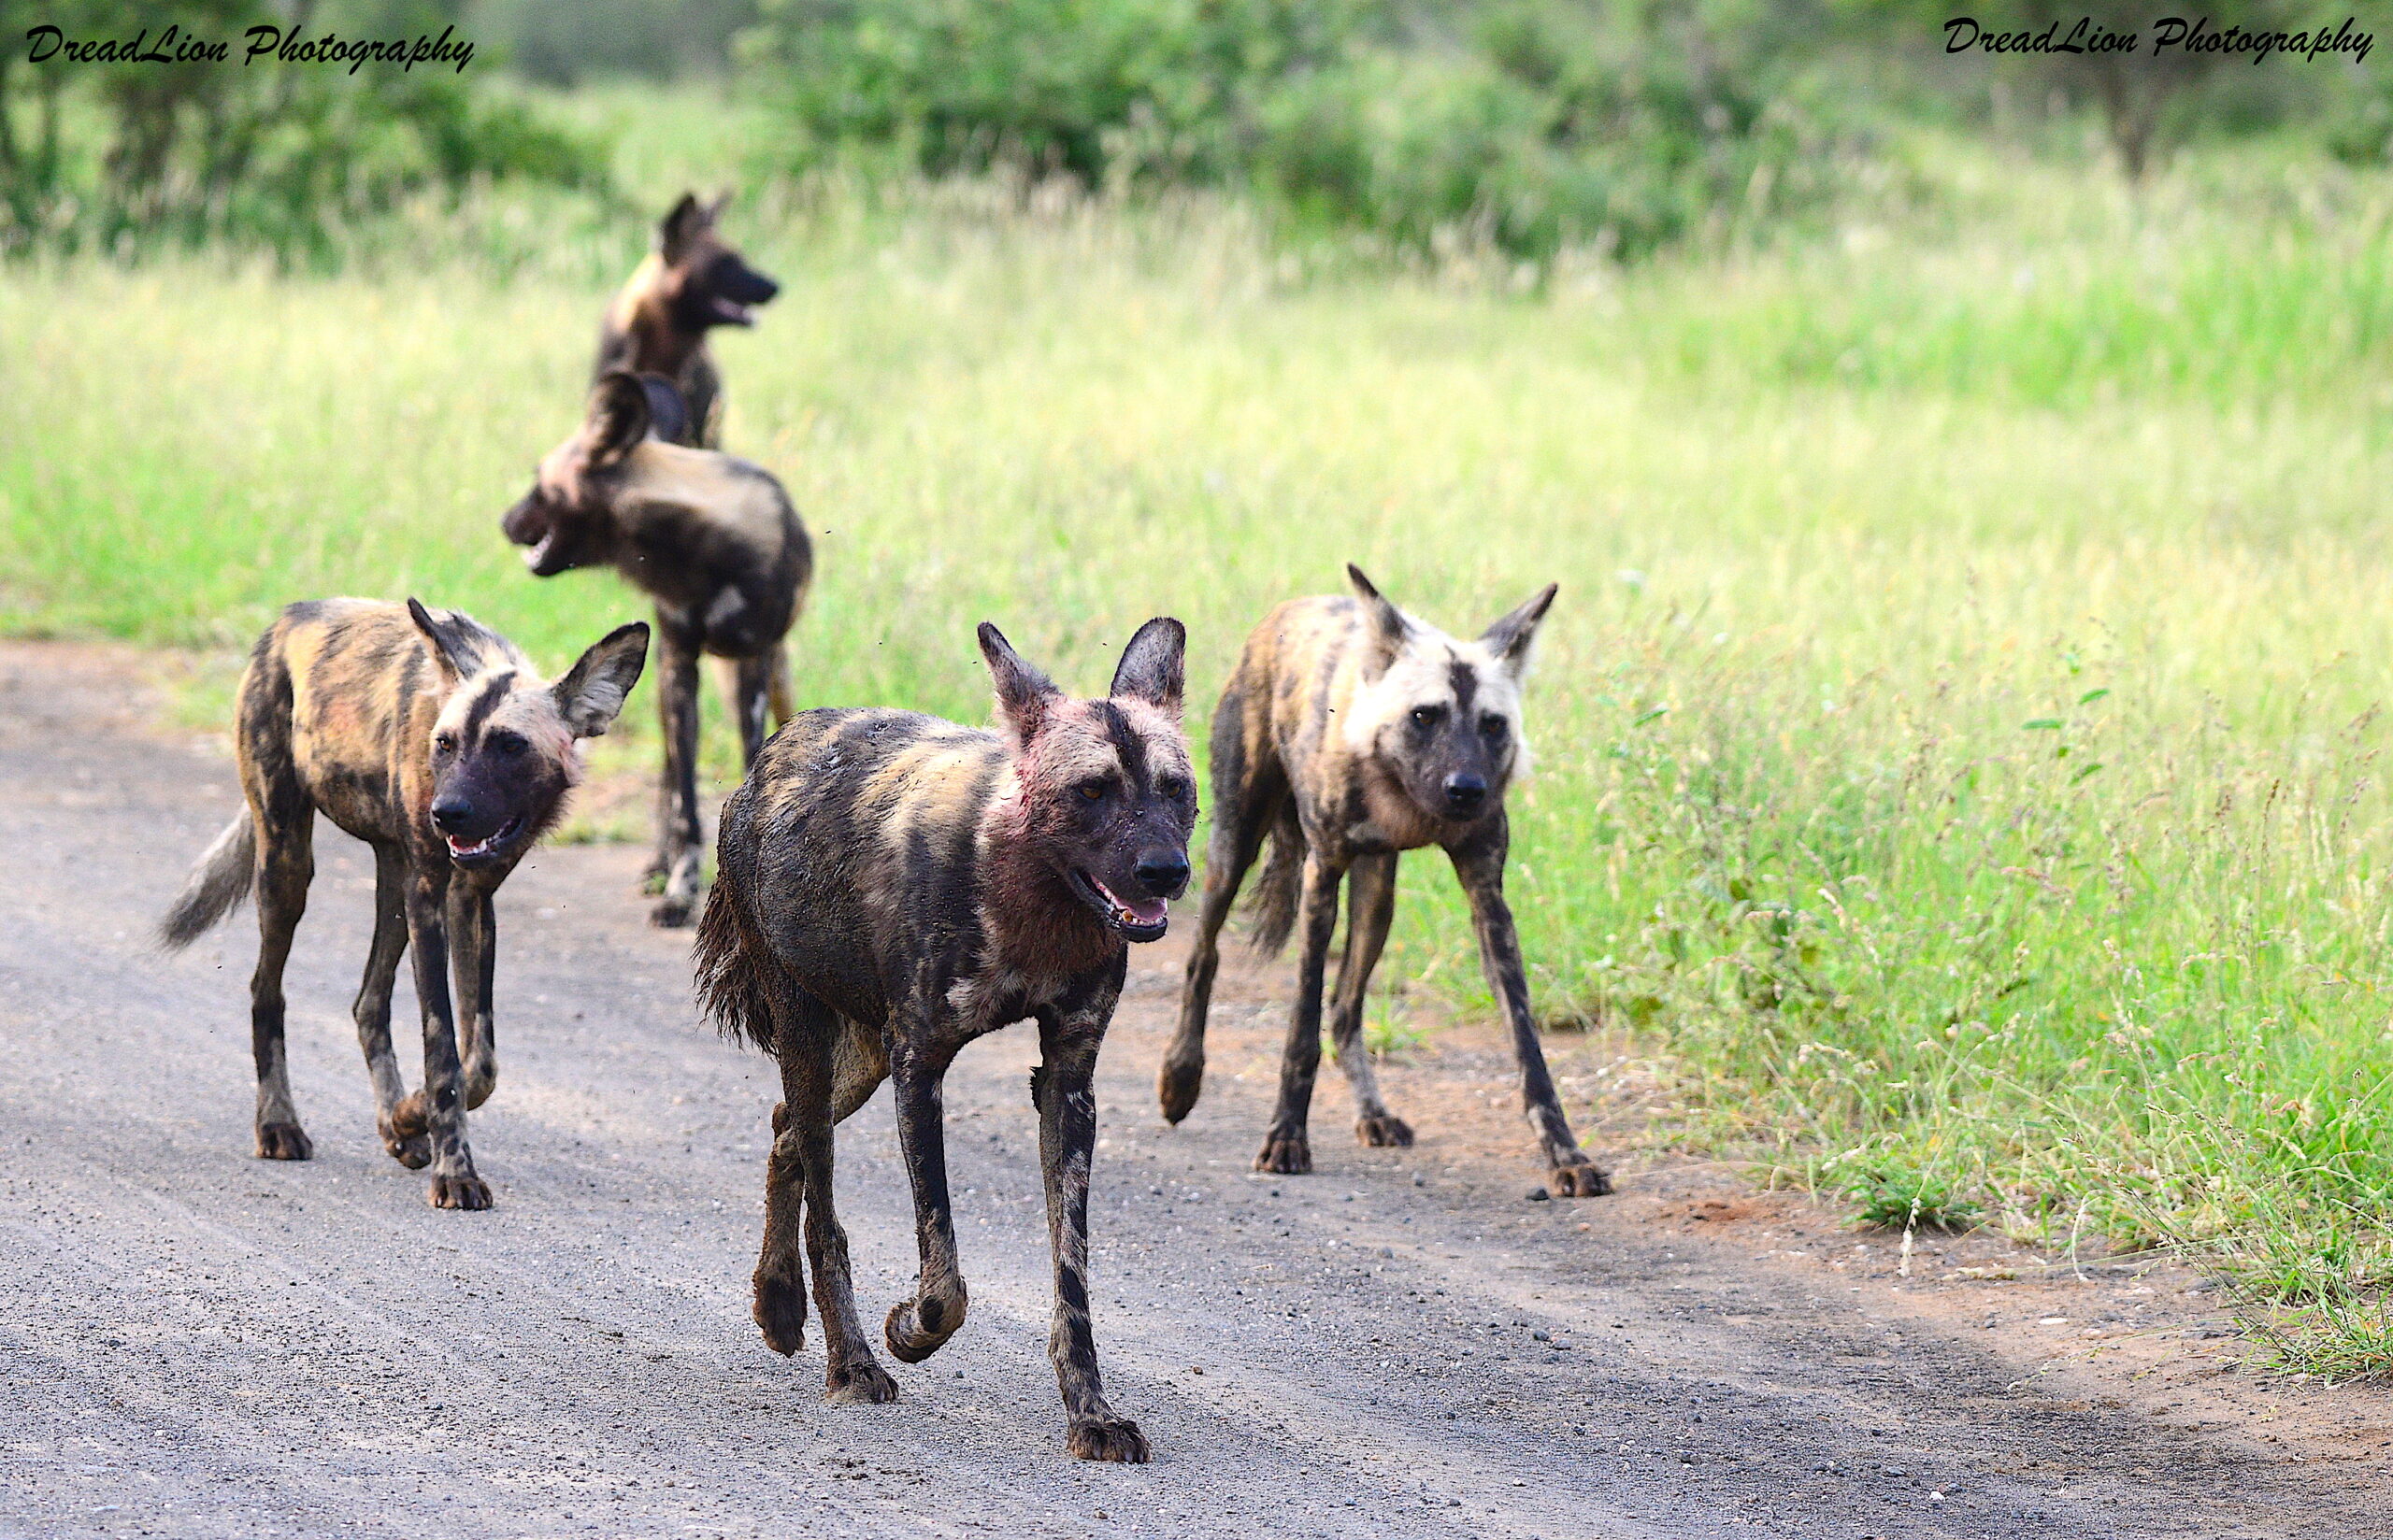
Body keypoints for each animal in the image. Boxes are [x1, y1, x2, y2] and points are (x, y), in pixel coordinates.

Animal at [160, 595, 651, 1209]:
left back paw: (396, 1123)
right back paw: (278, 1125)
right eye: (445, 744)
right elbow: (443, 1053)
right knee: (265, 992)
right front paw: (454, 1170)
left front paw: (411, 1116)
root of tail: (284, 621)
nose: (448, 812)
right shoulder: (429, 901)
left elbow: (478, 1063)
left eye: (511, 746)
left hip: (392, 890)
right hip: (289, 867)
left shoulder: (470, 901)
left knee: (368, 1003)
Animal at [497, 370, 813, 927]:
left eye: (538, 479)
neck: (702, 555)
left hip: (768, 674)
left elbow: (750, 768)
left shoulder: (751, 666)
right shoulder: (678, 665)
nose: (504, 520)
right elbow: (684, 800)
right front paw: (679, 890)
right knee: (668, 775)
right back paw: (658, 868)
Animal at [698, 621, 1206, 1463]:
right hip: (814, 1038)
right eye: (1092, 790)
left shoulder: (1067, 1083)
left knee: (783, 1134)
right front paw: (907, 1331)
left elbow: (1071, 1284)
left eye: (1176, 789)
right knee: (823, 1212)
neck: (1032, 899)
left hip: (858, 1062)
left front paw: (1091, 1414)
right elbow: (946, 1281)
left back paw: (778, 1306)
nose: (1165, 871)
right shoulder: (920, 1066)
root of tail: (769, 756)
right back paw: (852, 1365)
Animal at [1153, 571, 1617, 1195]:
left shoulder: (1487, 897)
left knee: (1346, 1009)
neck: (1404, 799)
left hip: (1378, 901)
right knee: (1204, 956)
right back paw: (1181, 1079)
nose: (1467, 789)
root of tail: (1288, 609)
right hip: (1234, 845)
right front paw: (1286, 1137)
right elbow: (1299, 1032)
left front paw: (1566, 1156)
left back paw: (1373, 1113)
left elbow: (1529, 1050)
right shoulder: (1322, 876)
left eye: (1493, 725)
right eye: (1425, 716)